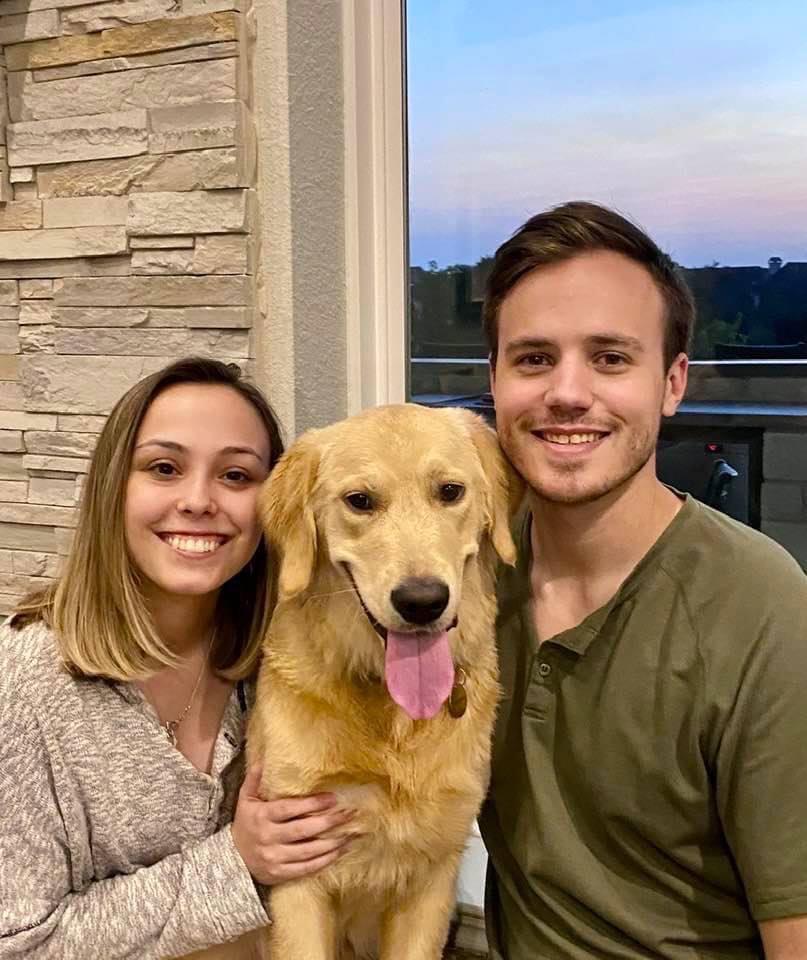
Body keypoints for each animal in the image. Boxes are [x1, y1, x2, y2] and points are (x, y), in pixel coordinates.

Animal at [184, 403, 519, 960]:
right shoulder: (299, 872)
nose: (423, 601)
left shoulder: (433, 878)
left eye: (450, 491)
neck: (390, 711)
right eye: (359, 501)